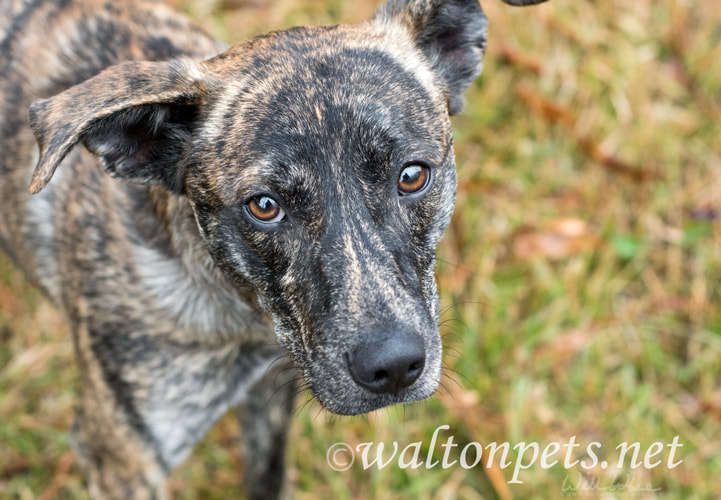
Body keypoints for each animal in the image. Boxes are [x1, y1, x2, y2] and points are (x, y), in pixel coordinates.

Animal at [0, 0, 544, 498]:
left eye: (412, 175)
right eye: (264, 206)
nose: (392, 368)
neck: (238, 309)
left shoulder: (272, 392)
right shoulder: (123, 461)